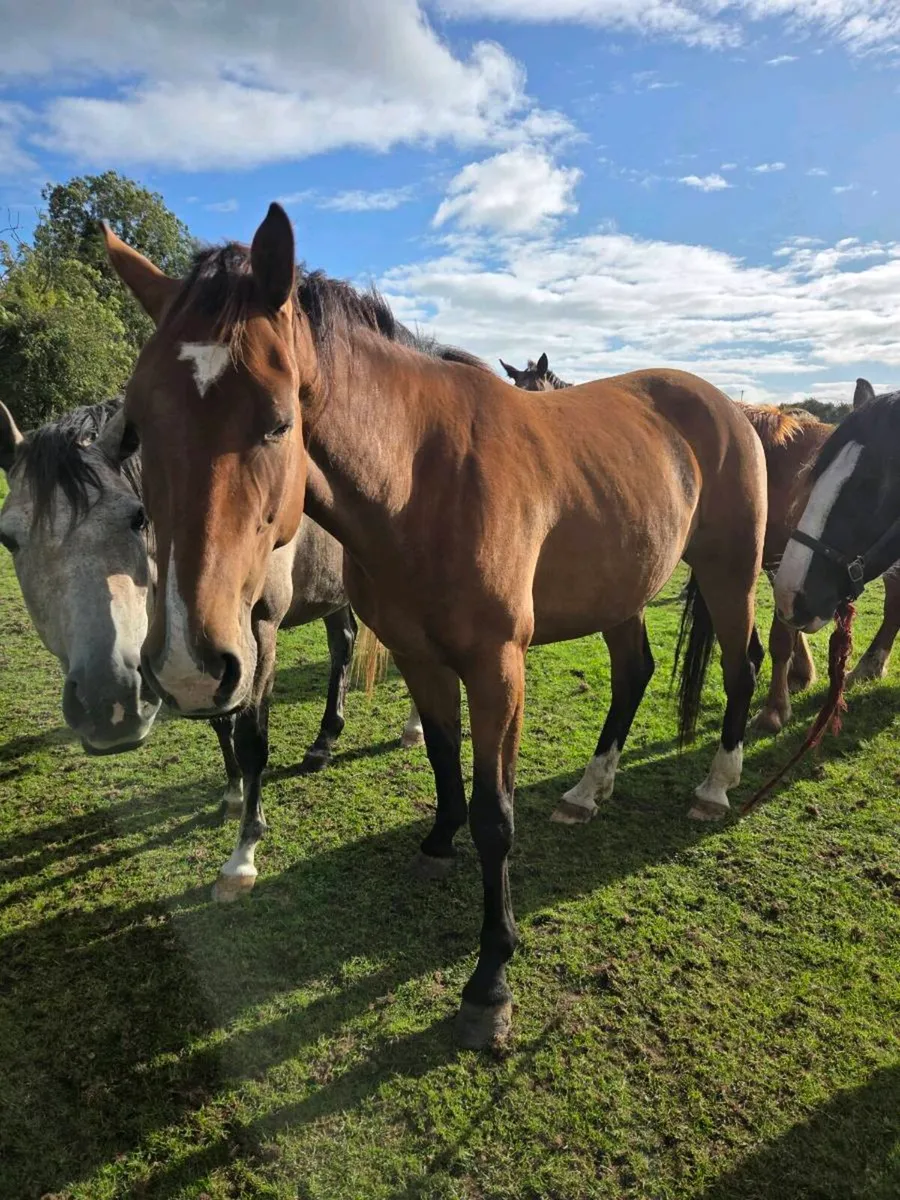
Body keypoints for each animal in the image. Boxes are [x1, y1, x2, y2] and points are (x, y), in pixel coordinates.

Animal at [0, 397, 422, 806]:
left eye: (139, 517)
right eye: (8, 539)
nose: (109, 704)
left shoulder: (260, 630)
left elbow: (250, 730)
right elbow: (220, 718)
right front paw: (234, 789)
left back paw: (413, 727)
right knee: (343, 645)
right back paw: (324, 742)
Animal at [102, 203, 768, 1048]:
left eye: (277, 422)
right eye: (138, 425)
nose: (192, 667)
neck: (422, 478)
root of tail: (727, 406)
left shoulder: (497, 667)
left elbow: (495, 814)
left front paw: (490, 980)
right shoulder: (420, 656)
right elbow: (445, 764)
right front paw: (438, 841)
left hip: (730, 574)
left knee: (743, 667)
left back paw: (716, 784)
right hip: (622, 594)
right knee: (634, 673)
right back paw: (590, 789)